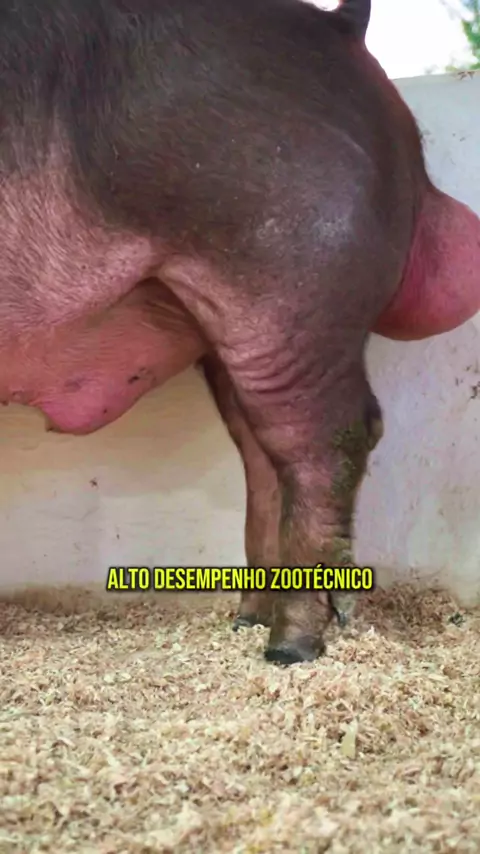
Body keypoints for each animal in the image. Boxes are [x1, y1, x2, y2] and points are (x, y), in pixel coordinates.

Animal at [0, 0, 478, 664]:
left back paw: (290, 647)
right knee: (264, 455)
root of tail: (338, 27)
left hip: (289, 277)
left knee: (328, 441)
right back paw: (247, 619)